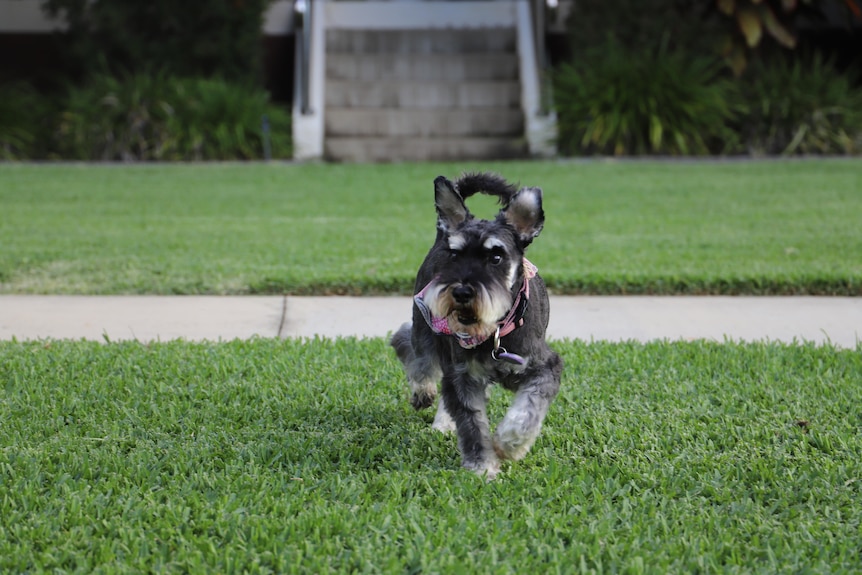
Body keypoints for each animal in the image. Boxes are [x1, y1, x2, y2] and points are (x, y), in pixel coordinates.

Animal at [392, 173, 568, 480]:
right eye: (454, 256)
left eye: (495, 257)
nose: (461, 292)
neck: (494, 330)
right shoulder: (463, 376)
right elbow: (472, 424)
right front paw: (482, 467)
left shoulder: (544, 368)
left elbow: (527, 410)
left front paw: (509, 444)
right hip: (425, 330)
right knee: (411, 351)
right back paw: (424, 395)